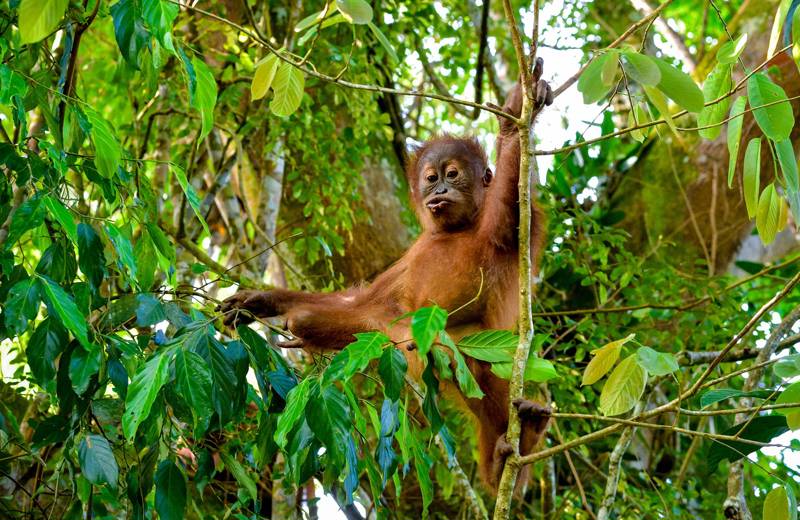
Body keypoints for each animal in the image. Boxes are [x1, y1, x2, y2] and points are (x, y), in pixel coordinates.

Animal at [219, 59, 554, 489]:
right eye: (431, 178)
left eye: (453, 174)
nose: (439, 191)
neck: (455, 230)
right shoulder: (412, 256)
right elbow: (366, 300)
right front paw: (259, 301)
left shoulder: (505, 231)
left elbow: (512, 207)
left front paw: (514, 115)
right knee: (376, 320)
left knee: (465, 357)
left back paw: (519, 443)